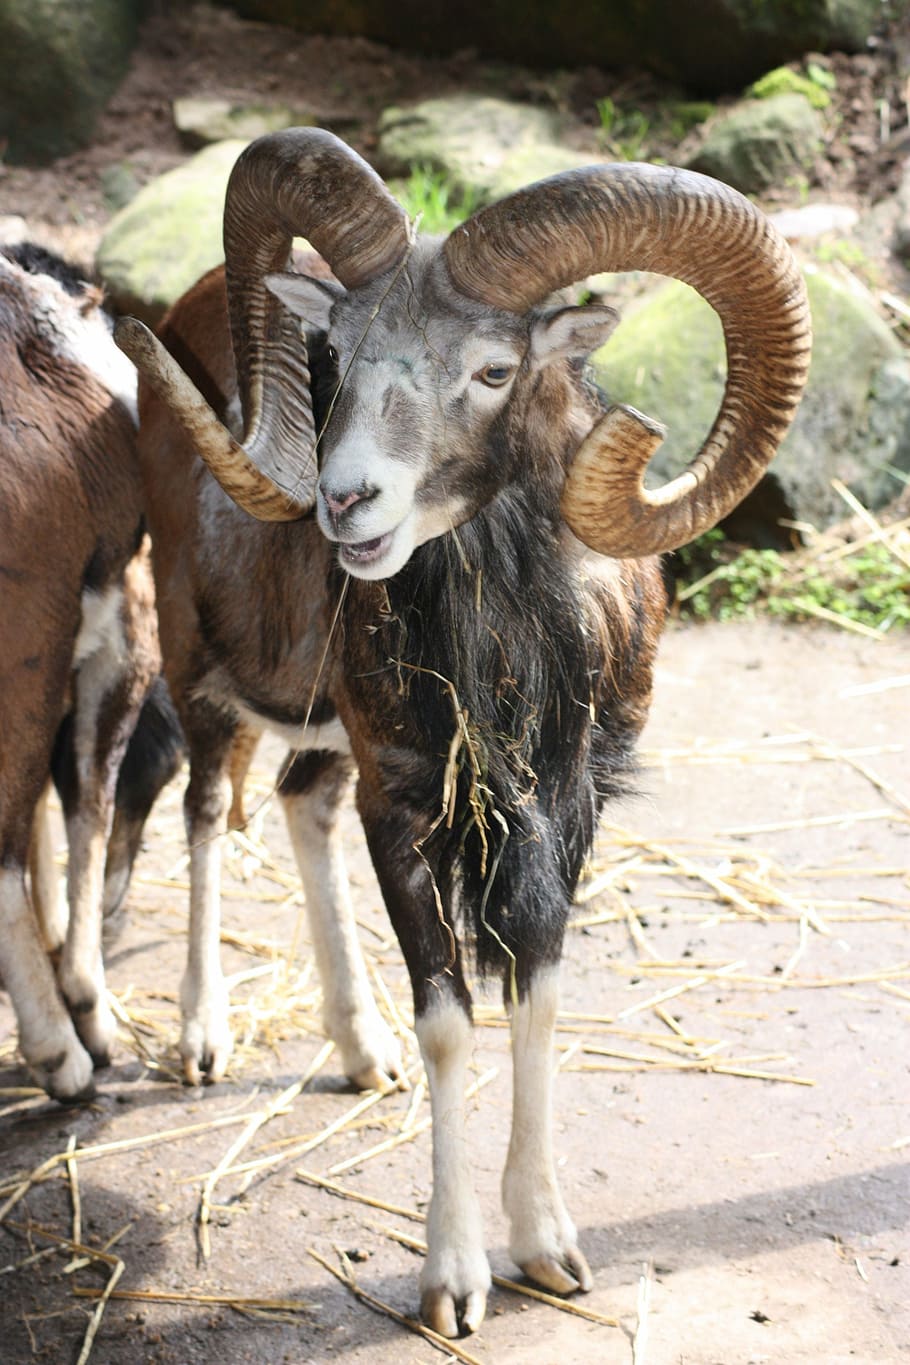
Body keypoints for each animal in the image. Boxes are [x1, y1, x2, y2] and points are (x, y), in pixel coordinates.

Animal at [117, 128, 810, 1336]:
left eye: (492, 371)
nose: (347, 503)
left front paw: (547, 1249)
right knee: (204, 812)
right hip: (198, 666)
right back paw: (202, 1040)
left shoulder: (563, 817)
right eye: (336, 354)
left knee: (296, 808)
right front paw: (453, 1282)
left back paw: (361, 1054)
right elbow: (450, 1020)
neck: (509, 659)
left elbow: (536, 992)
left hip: (323, 737)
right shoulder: (402, 808)